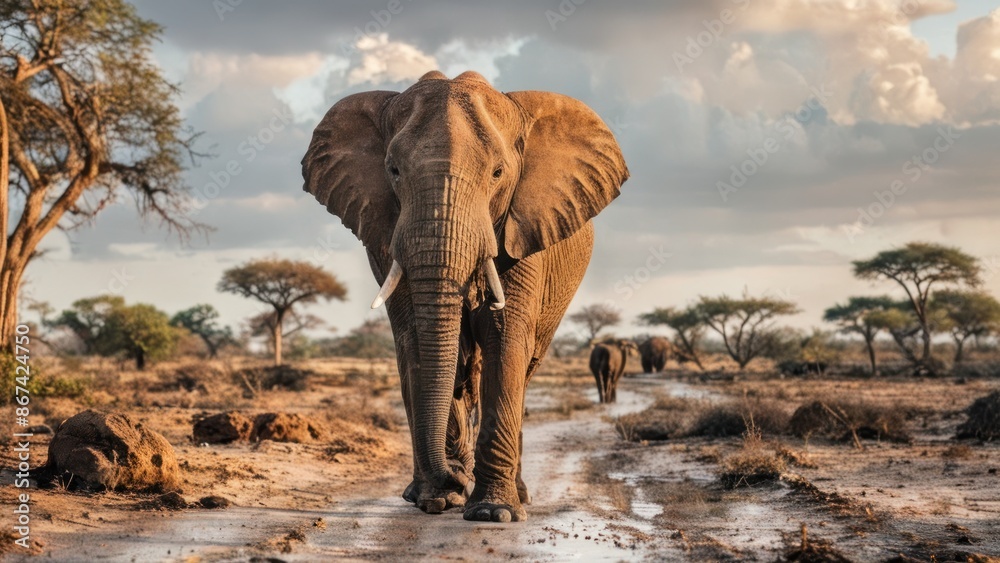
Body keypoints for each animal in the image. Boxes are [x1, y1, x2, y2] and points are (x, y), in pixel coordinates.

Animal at [301, 70, 628, 523]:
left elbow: (504, 338)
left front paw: (492, 512)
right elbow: (417, 341)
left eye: (498, 173)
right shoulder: (384, 235)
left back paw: (517, 494)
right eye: (393, 170)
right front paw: (437, 499)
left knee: (523, 366)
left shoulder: (522, 233)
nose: (458, 477)